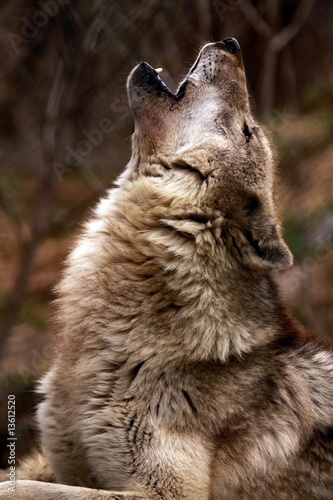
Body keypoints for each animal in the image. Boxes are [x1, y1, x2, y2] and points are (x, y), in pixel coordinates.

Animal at [0, 38, 332, 496]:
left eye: (247, 130)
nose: (231, 43)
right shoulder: (64, 460)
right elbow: (30, 476)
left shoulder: (165, 491)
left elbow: (29, 489)